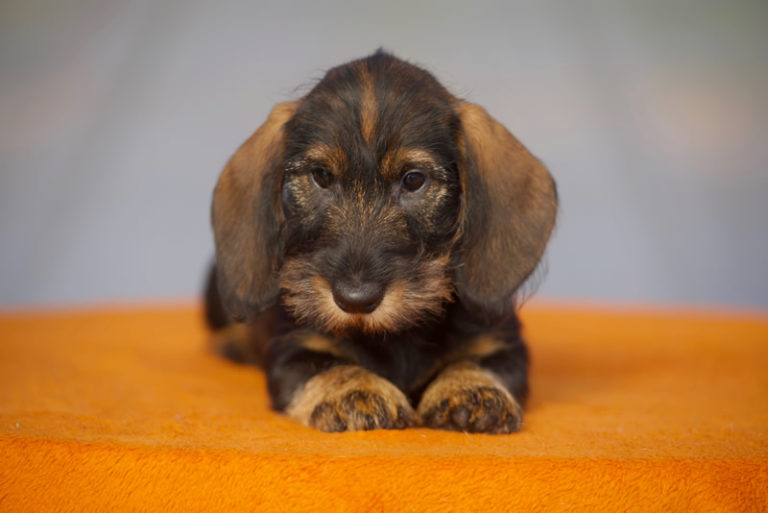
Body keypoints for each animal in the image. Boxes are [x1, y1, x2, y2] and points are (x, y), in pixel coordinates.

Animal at [207, 52, 560, 432]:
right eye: (321, 176)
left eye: (414, 179)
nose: (355, 299)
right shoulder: (293, 348)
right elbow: (328, 364)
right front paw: (353, 392)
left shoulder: (503, 344)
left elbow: (479, 363)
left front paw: (472, 389)